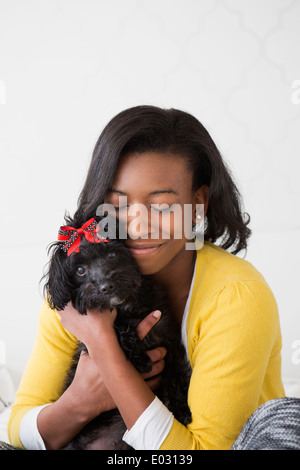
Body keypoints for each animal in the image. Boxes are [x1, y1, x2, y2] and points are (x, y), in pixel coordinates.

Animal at [43, 215, 191, 450]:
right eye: (80, 270)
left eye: (112, 254)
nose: (106, 286)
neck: (128, 306)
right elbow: (119, 326)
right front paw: (140, 358)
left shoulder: (169, 339)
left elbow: (176, 376)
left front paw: (181, 410)